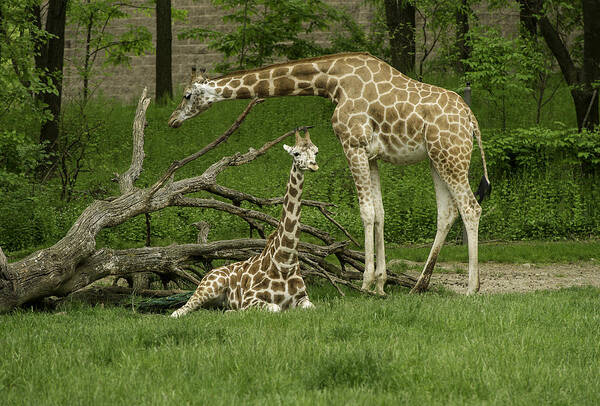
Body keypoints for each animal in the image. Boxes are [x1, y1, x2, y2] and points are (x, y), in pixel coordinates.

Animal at [168, 53, 488, 294]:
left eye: (187, 95)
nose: (172, 120)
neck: (333, 81)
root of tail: (472, 119)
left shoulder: (352, 145)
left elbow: (366, 212)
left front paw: (366, 284)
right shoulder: (371, 154)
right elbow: (380, 212)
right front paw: (381, 285)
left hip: (451, 156)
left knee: (471, 207)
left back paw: (472, 288)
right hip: (436, 159)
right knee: (447, 212)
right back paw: (419, 285)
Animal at [170, 130, 318, 318]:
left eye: (316, 151)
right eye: (296, 153)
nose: (314, 165)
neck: (285, 261)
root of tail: (208, 273)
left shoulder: (304, 299)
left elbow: (310, 306)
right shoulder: (249, 299)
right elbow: (275, 308)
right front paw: (236, 312)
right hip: (208, 288)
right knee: (179, 311)